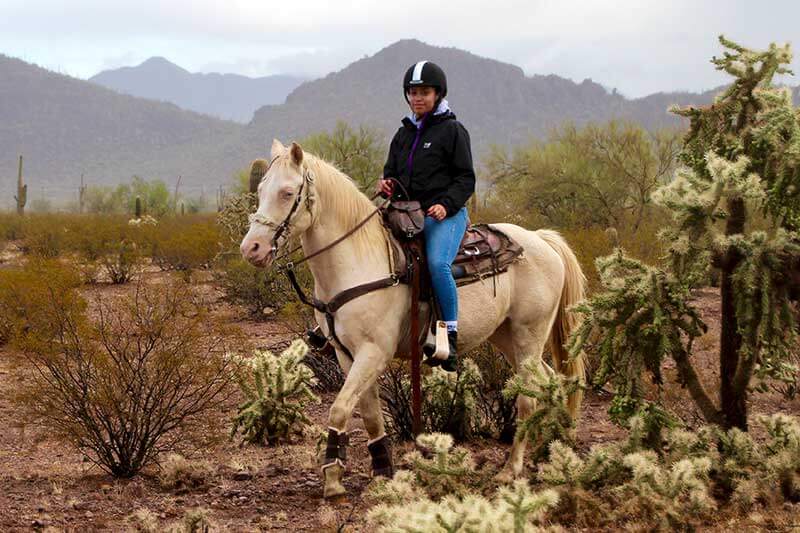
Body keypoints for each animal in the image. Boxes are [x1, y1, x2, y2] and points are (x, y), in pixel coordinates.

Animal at [241, 139, 586, 499]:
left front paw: (333, 480)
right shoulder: (347, 354)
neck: (359, 260)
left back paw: (511, 468)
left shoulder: (374, 352)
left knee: (527, 396)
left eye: (287, 193)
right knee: (550, 381)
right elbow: (370, 415)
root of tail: (541, 239)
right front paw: (381, 470)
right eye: (260, 190)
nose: (252, 248)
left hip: (528, 336)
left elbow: (339, 408)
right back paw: (552, 449)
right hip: (505, 336)